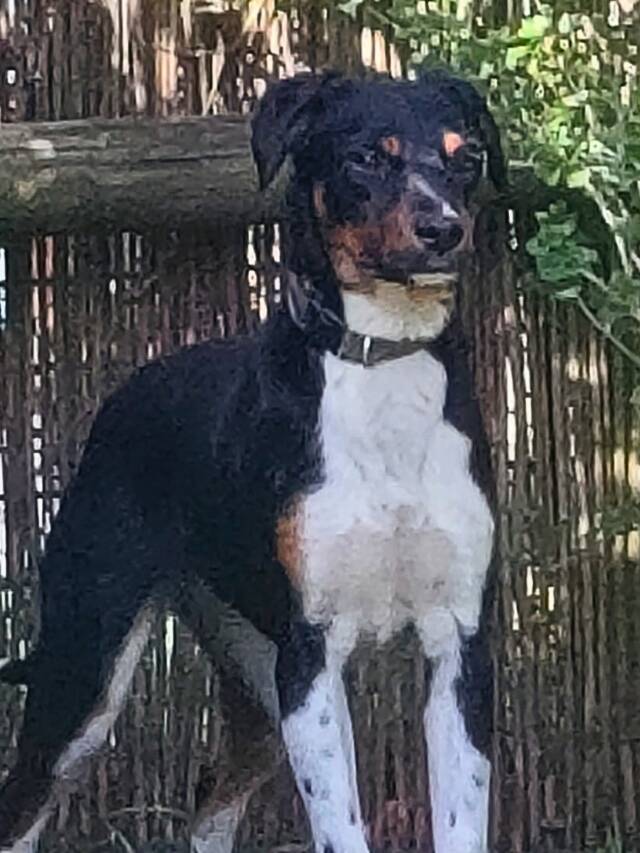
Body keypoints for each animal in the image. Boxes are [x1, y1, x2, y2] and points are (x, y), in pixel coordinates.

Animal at [0, 70, 504, 853]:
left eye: (468, 156)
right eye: (365, 157)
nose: (443, 229)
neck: (380, 361)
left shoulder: (461, 646)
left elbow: (460, 818)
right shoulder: (310, 655)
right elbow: (342, 826)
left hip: (255, 682)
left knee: (212, 799)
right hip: (86, 669)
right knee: (23, 803)